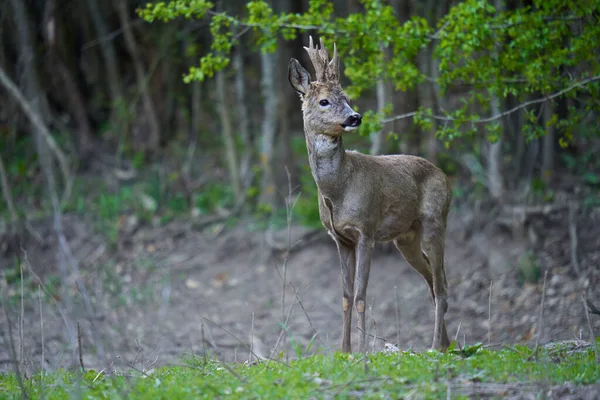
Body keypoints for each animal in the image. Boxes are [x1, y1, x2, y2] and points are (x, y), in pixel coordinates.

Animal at [288, 36, 452, 352]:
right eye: (324, 101)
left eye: (347, 96)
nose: (355, 117)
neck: (337, 190)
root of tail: (445, 176)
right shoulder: (340, 238)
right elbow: (345, 296)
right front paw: (344, 350)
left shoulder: (366, 229)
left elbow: (362, 296)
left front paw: (363, 350)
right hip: (406, 238)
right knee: (433, 279)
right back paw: (448, 345)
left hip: (435, 221)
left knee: (440, 285)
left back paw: (436, 346)